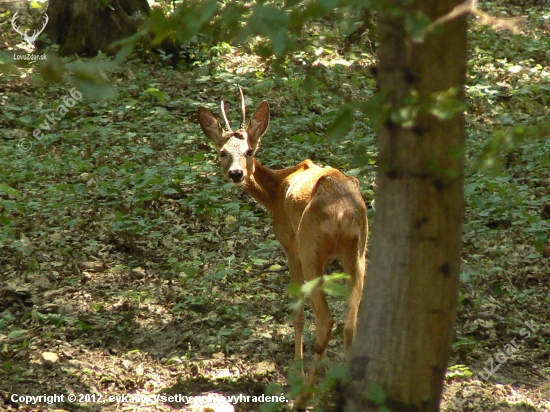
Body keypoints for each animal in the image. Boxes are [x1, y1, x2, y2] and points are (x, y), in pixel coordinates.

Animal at [198, 89, 370, 406]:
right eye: (222, 152)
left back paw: (302, 396)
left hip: (310, 248)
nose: (236, 174)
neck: (276, 190)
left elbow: (298, 313)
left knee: (326, 320)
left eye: (249, 151)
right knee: (351, 324)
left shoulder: (289, 245)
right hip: (359, 251)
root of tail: (342, 213)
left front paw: (297, 373)